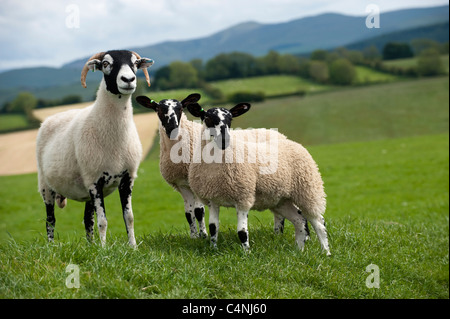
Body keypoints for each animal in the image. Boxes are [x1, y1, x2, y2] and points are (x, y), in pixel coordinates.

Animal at [35, 49, 155, 248]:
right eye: (106, 64)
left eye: (135, 64)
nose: (128, 79)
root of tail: (52, 118)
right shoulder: (94, 180)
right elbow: (103, 221)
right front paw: (104, 250)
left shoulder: (127, 178)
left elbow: (129, 217)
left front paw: (133, 247)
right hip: (46, 185)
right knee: (50, 220)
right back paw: (51, 247)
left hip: (85, 189)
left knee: (87, 219)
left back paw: (90, 247)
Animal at [186, 104, 330, 256]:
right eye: (207, 118)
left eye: (230, 119)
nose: (224, 140)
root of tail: (294, 143)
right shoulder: (213, 199)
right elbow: (213, 227)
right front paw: (213, 249)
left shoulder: (243, 197)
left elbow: (242, 232)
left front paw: (246, 253)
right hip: (281, 200)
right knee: (299, 220)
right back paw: (298, 250)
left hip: (308, 190)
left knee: (319, 222)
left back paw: (326, 252)